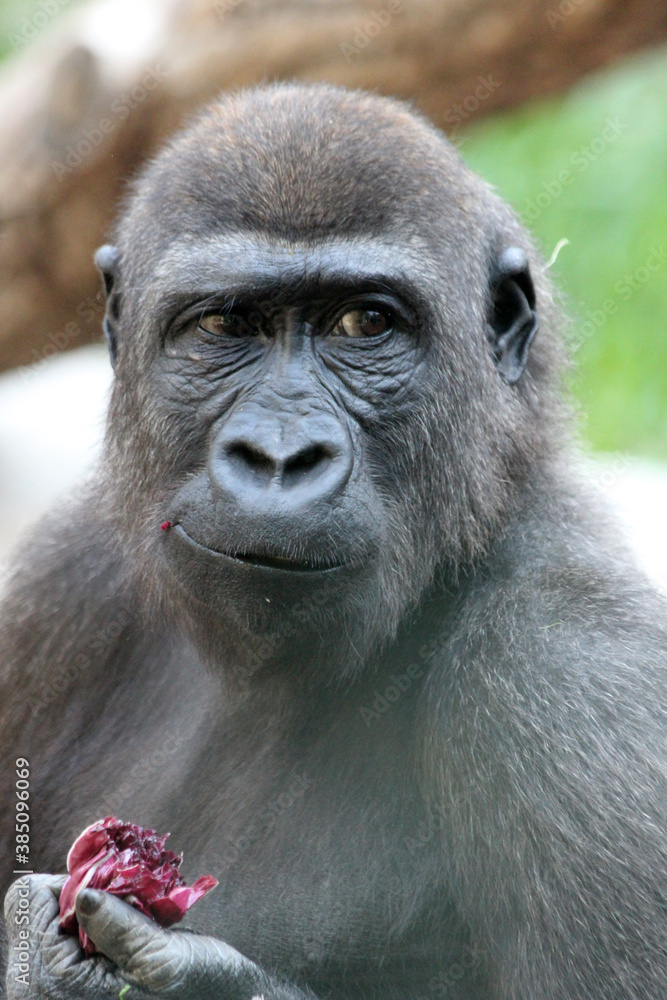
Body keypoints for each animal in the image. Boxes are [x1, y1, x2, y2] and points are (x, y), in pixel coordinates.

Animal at [1, 82, 666, 1000]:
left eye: (364, 322)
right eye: (224, 324)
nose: (281, 457)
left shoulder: (571, 669)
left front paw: (181, 978)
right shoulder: (65, 574)